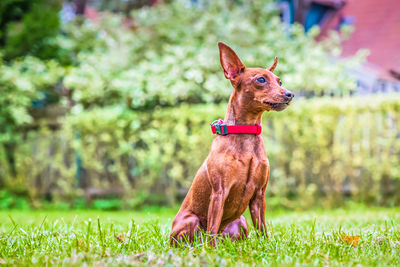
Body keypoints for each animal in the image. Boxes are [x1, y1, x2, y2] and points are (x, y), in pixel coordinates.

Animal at [169, 42, 294, 247]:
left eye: (280, 81)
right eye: (261, 80)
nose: (290, 94)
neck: (246, 133)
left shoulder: (259, 194)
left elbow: (262, 228)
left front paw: (266, 246)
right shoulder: (219, 192)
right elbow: (212, 227)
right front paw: (211, 251)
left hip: (241, 221)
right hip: (191, 221)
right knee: (202, 236)